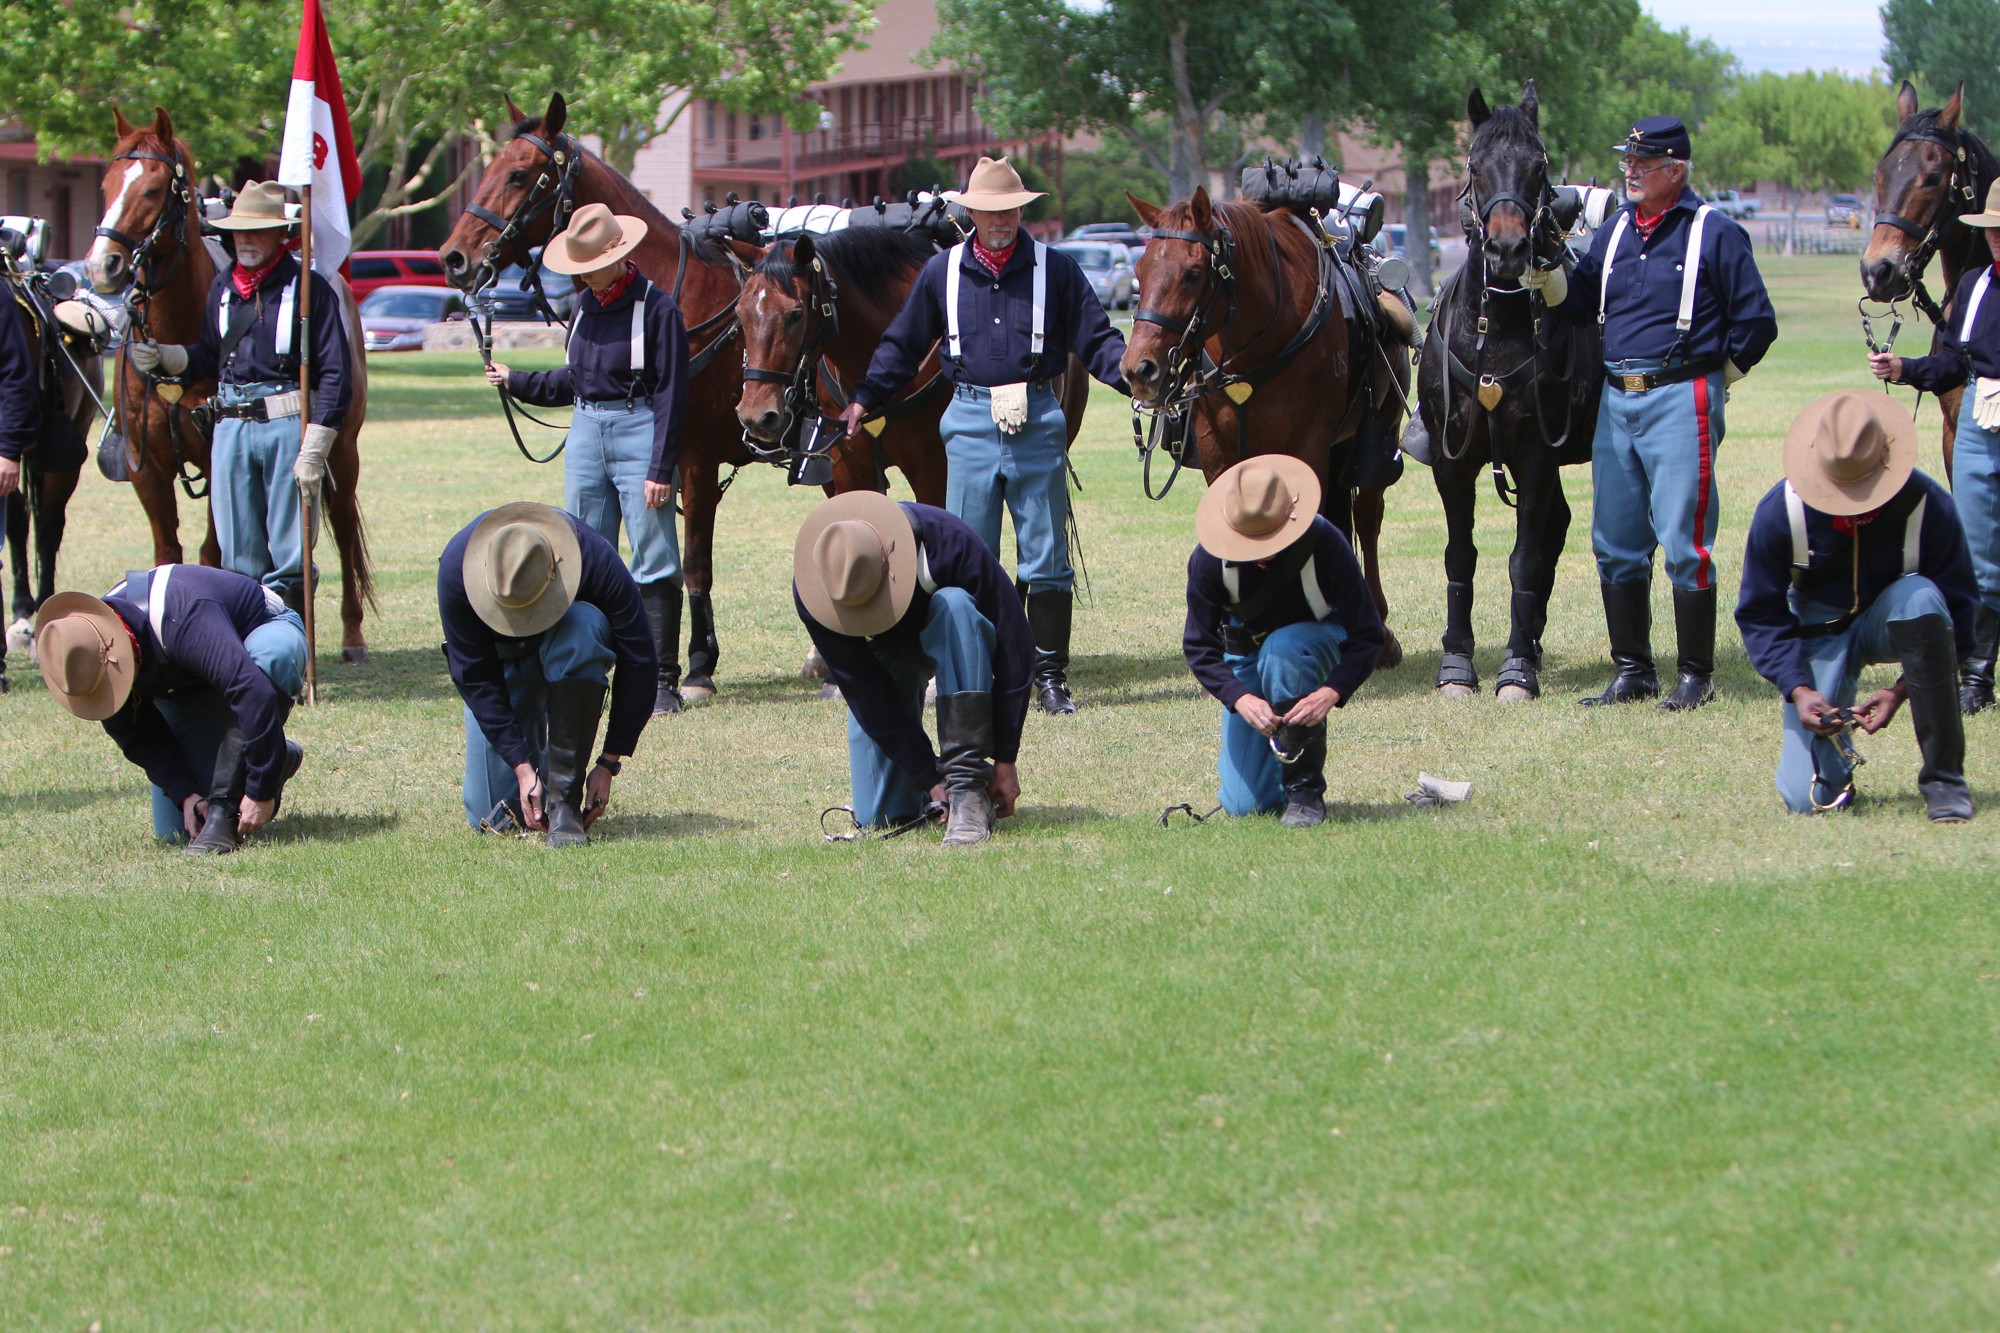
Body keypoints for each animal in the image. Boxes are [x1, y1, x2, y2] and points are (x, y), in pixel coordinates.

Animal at [87, 105, 376, 660]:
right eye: (107, 183)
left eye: (153, 188)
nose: (101, 265)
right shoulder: (146, 471)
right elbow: (168, 550)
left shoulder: (217, 455)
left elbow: (210, 551)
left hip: (343, 449)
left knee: (343, 527)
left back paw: (351, 635)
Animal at [442, 93, 748, 696]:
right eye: (485, 167)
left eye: (518, 174)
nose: (453, 258)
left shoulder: (694, 459)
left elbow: (692, 564)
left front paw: (697, 667)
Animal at [1128, 184, 1408, 660]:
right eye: (1140, 270)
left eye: (1193, 273)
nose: (1139, 369)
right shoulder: (1219, 450)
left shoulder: (1308, 445)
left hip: (1378, 428)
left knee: (1367, 515)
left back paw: (1379, 626)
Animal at [1416, 85, 1600, 696]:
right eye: (1475, 164)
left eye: (1538, 165)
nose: (1507, 248)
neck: (1495, 329)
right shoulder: (1451, 462)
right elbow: (1460, 555)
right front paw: (1456, 663)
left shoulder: (1537, 454)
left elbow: (1524, 559)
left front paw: (1516, 666)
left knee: (1548, 537)